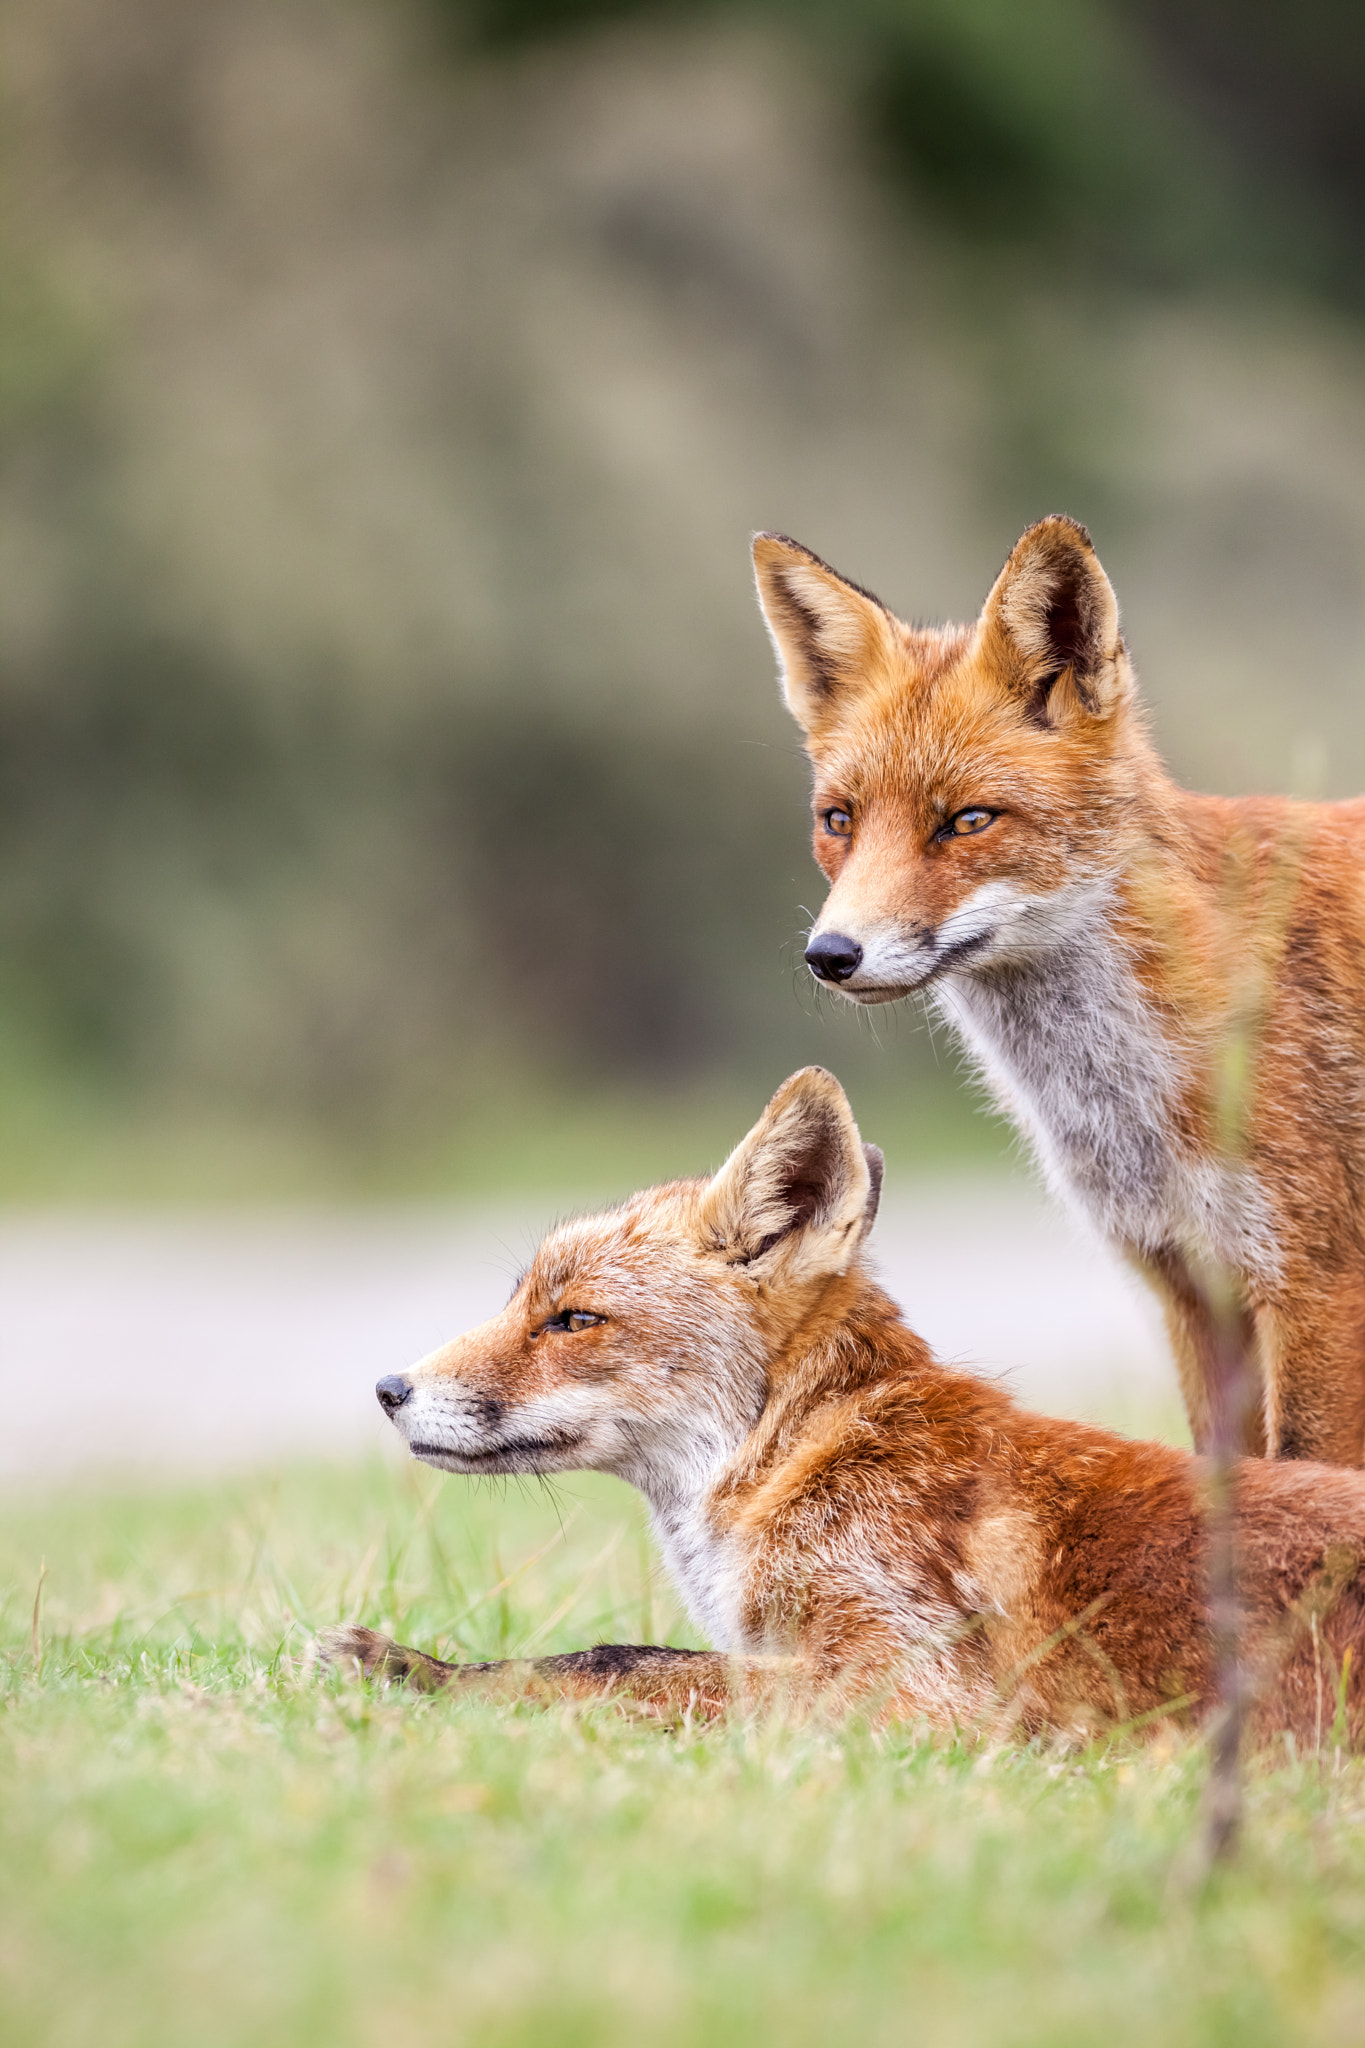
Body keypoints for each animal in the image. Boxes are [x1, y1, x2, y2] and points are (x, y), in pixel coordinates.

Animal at [325, 1064, 1365, 1753]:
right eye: (518, 1306)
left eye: (573, 1319)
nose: (387, 1390)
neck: (802, 1455)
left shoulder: (923, 1689)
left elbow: (616, 1662)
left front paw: (419, 1673)